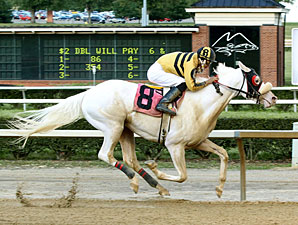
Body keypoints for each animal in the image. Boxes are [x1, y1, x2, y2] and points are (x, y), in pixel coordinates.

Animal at [9, 61, 278, 197]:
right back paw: (139, 179)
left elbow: (223, 154)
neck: (202, 103)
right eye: (256, 79)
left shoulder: (198, 141)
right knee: (106, 155)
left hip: (126, 130)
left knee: (130, 158)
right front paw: (157, 168)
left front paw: (220, 188)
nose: (273, 98)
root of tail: (88, 93)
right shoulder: (174, 145)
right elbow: (183, 175)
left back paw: (152, 184)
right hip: (113, 126)